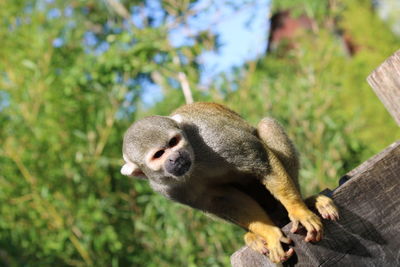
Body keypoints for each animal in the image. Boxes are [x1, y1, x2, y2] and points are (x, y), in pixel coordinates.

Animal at [121, 102, 338, 264]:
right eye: (158, 154)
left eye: (174, 142)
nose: (176, 157)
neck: (195, 162)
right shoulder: (166, 189)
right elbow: (223, 199)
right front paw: (268, 233)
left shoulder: (213, 137)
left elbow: (261, 161)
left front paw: (299, 212)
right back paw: (254, 235)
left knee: (266, 126)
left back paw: (306, 202)